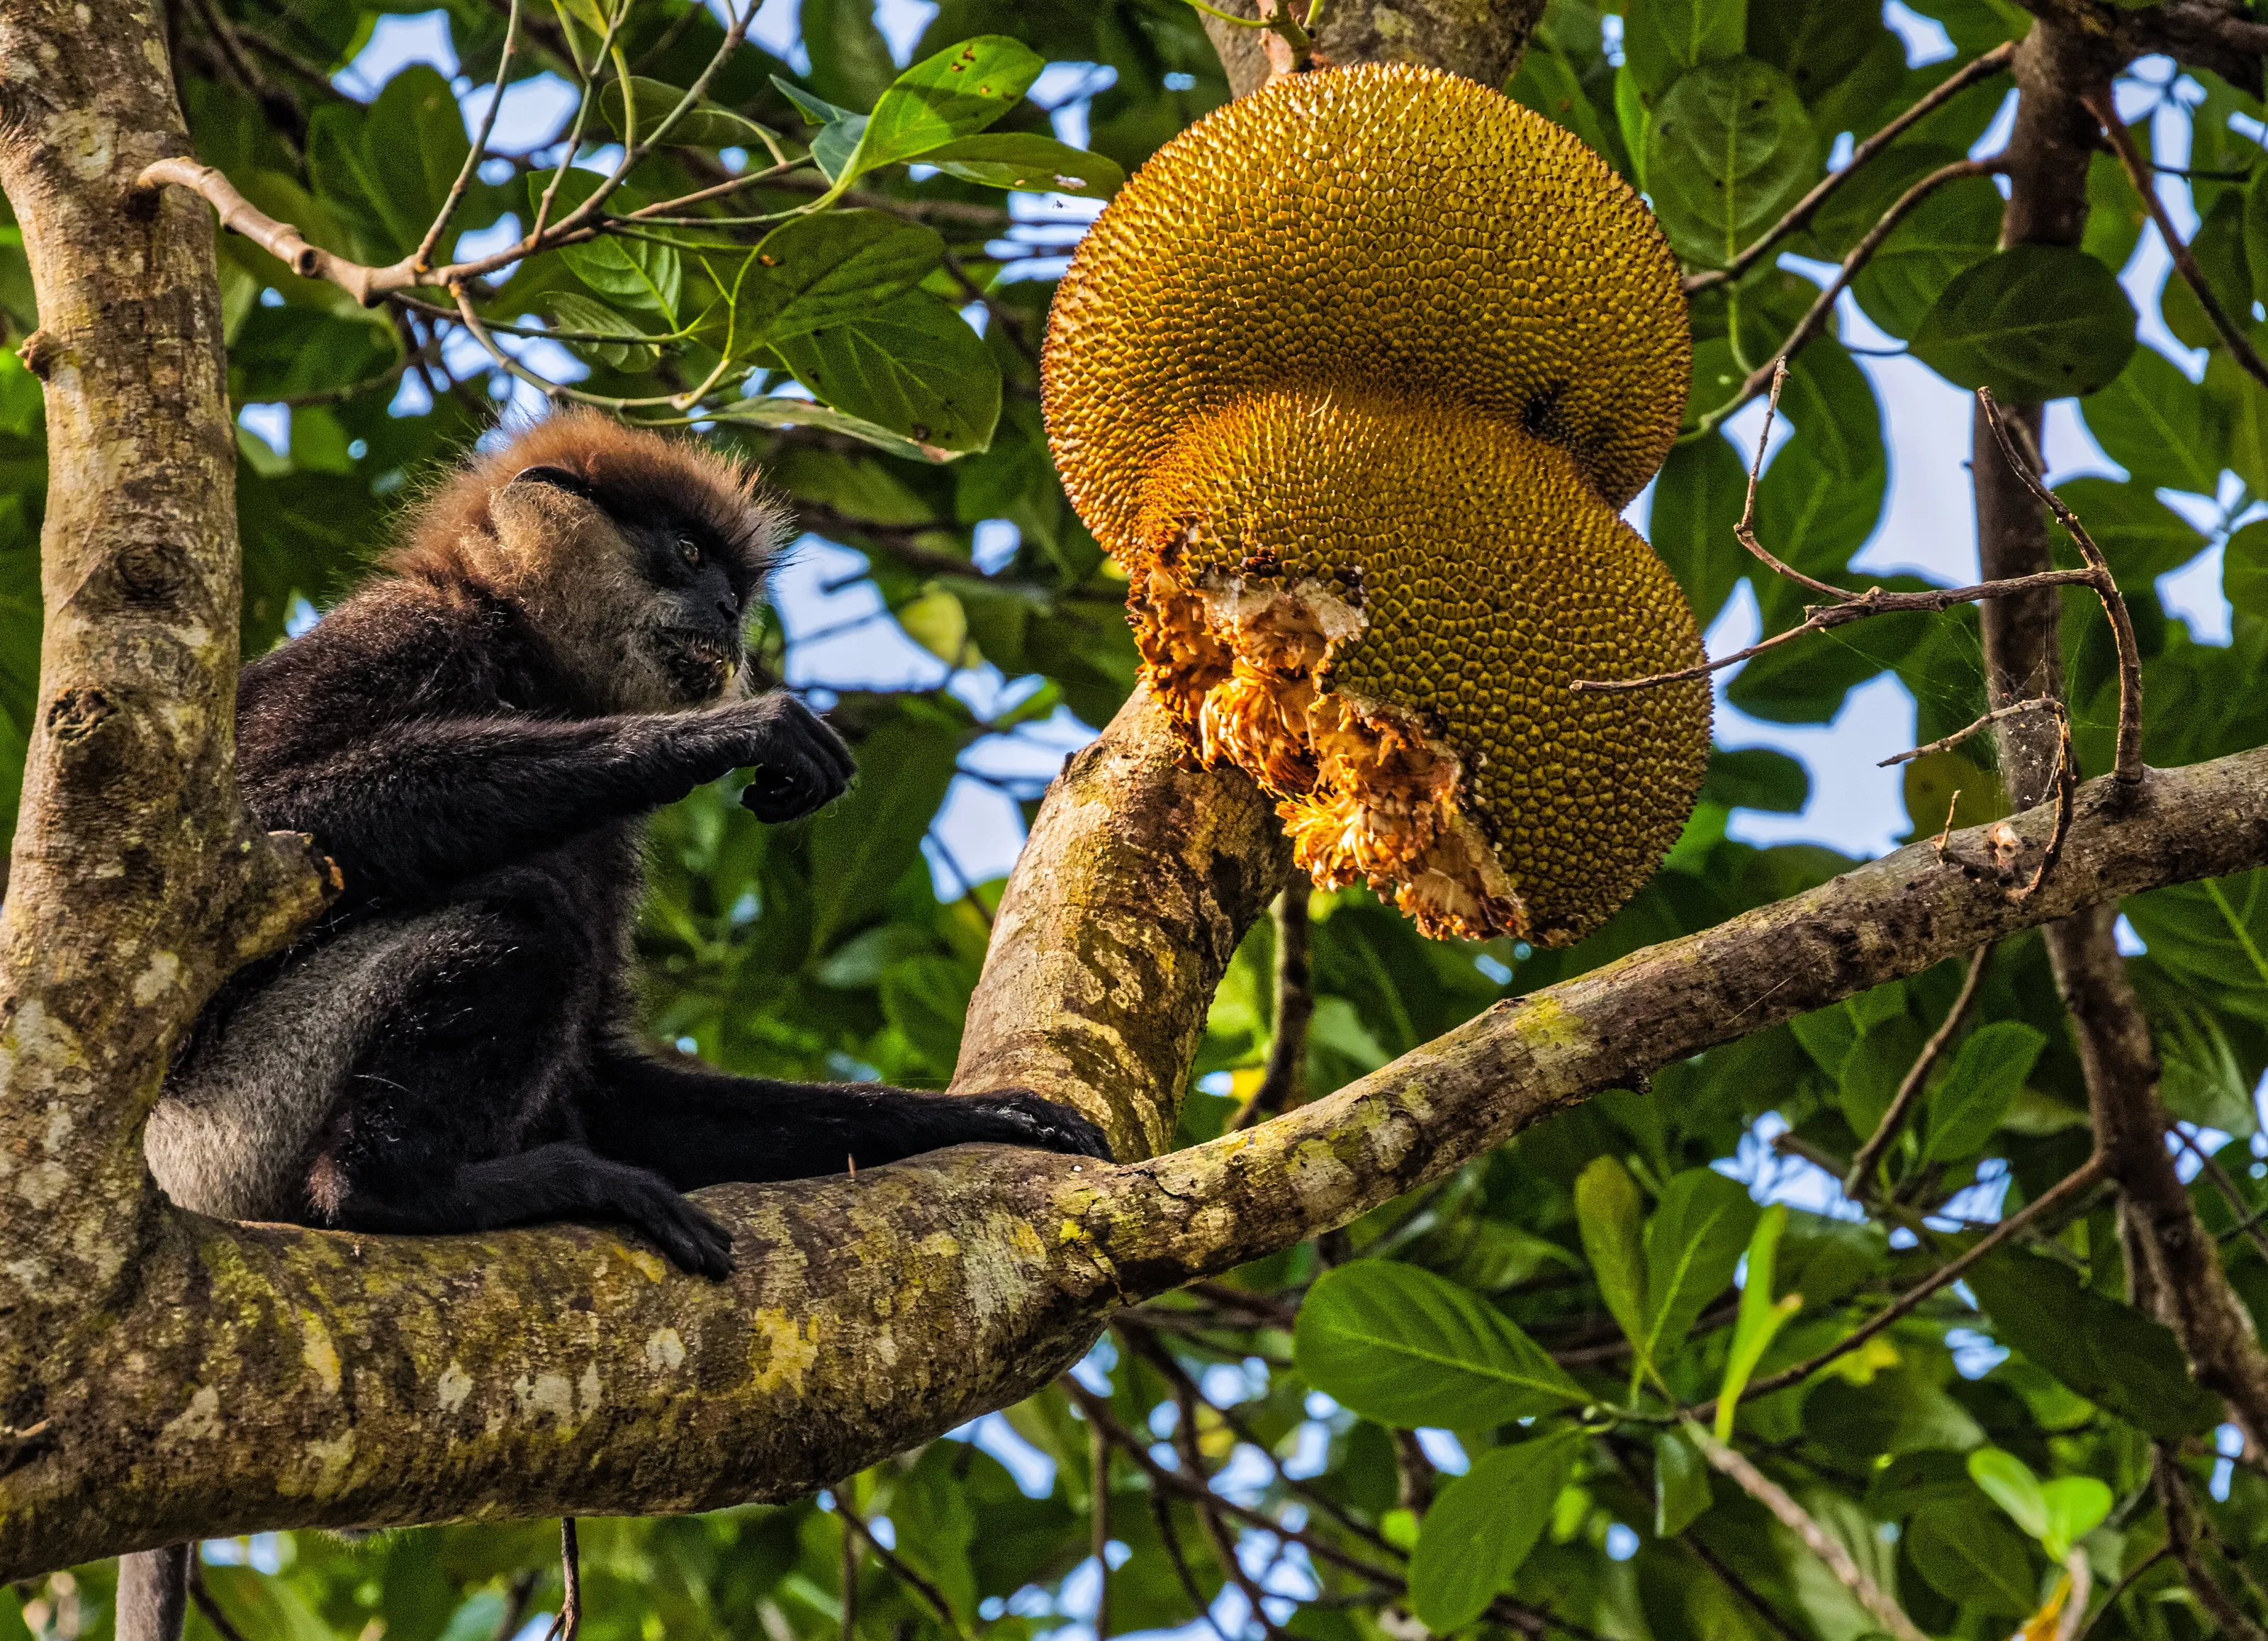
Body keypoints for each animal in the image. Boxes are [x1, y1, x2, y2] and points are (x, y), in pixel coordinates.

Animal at [141, 410, 1112, 1283]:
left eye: (732, 584)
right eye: (687, 554)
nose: (726, 608)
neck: (522, 664)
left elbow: (607, 1084)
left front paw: (986, 1118)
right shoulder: (402, 631)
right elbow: (246, 836)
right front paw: (709, 737)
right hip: (241, 1110)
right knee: (525, 904)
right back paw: (394, 1190)